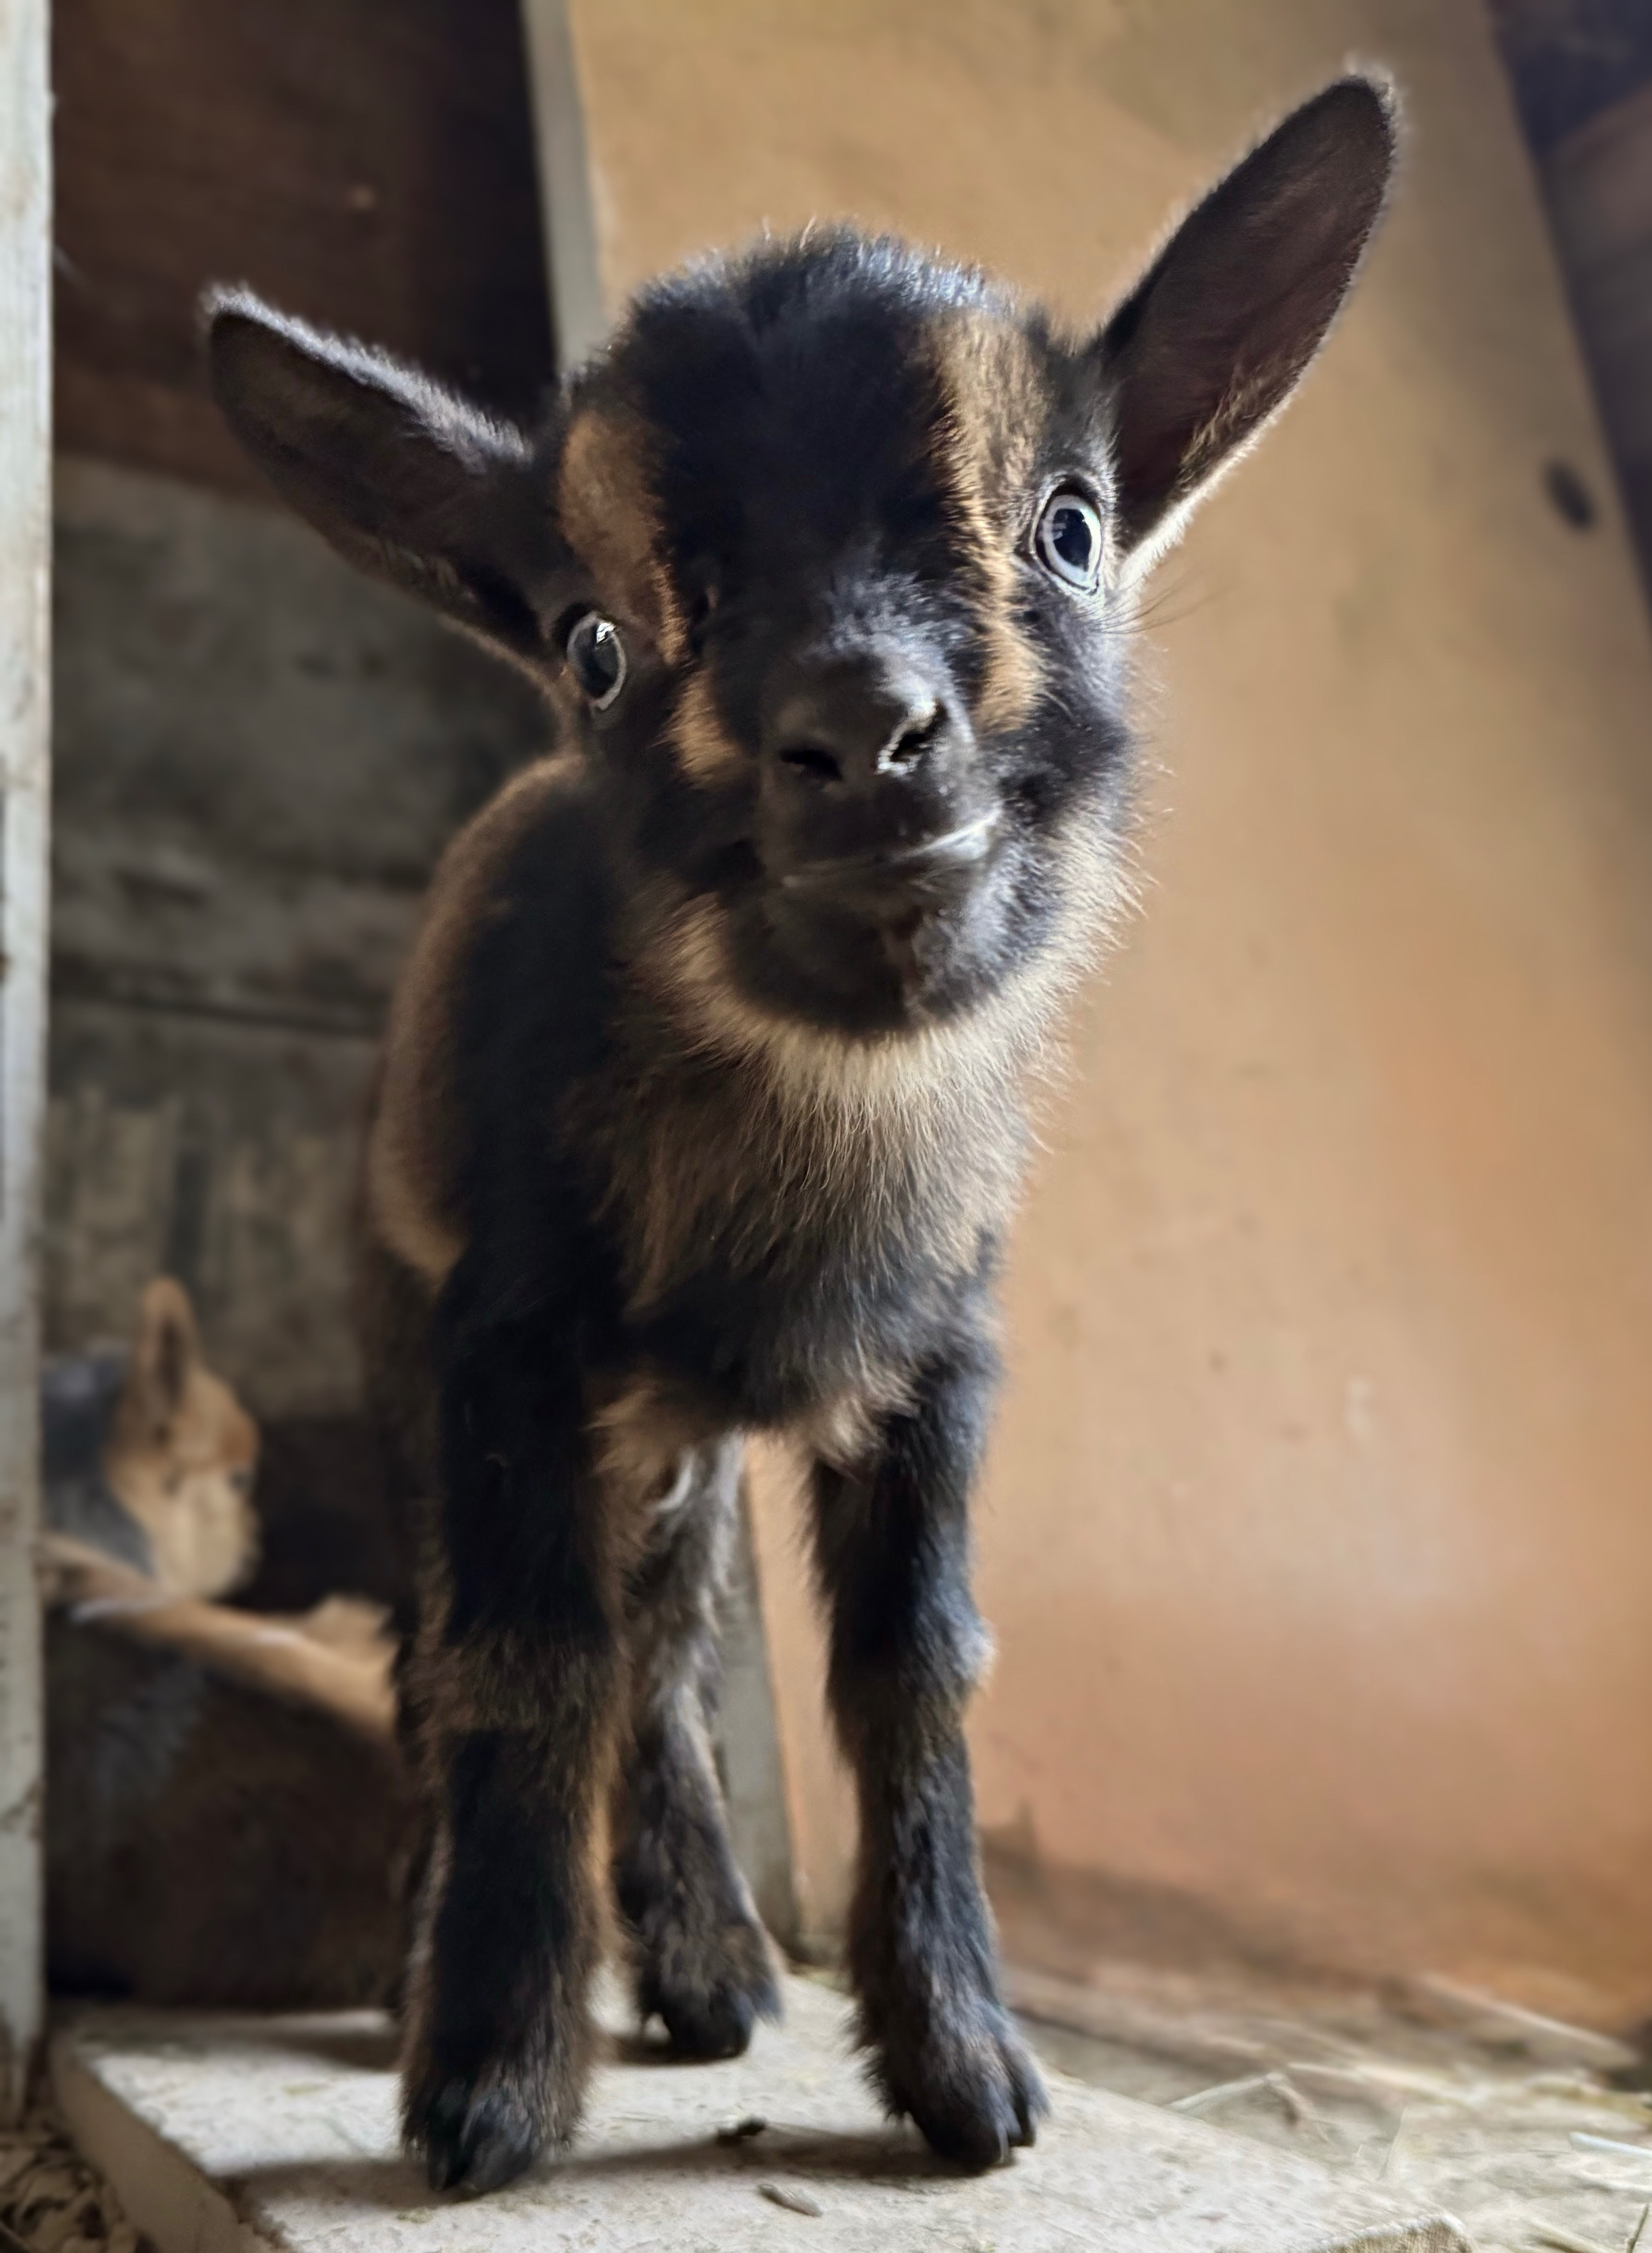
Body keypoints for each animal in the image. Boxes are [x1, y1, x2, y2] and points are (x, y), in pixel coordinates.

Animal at [204, 78, 1397, 2193]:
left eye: (1070, 525)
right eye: (593, 644)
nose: (856, 727)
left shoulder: (937, 1355)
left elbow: (910, 1668)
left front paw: (964, 2063)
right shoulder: (503, 1334)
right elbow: (523, 1659)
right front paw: (487, 2079)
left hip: (663, 1438)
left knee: (670, 1636)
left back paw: (703, 1967)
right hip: (411, 1330)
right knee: (464, 1643)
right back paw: (440, 1968)